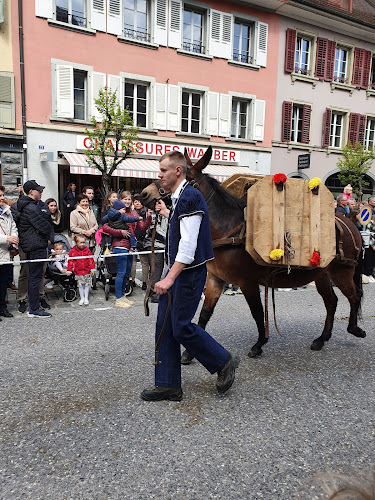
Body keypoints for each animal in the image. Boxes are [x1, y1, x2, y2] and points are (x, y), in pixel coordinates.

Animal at [140, 147, 364, 360]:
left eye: (183, 176)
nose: (144, 194)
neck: (227, 229)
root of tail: (349, 223)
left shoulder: (247, 282)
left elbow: (257, 312)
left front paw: (259, 344)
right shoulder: (215, 279)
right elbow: (204, 314)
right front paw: (190, 352)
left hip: (342, 273)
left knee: (354, 297)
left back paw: (354, 328)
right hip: (322, 275)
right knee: (332, 302)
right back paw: (322, 338)